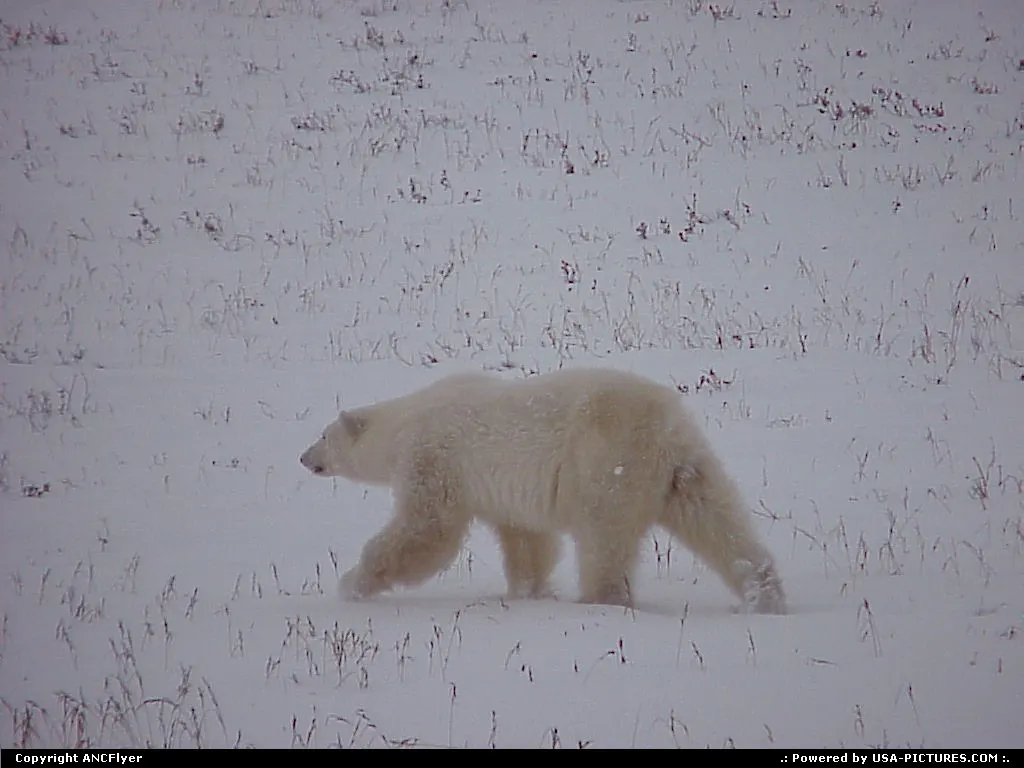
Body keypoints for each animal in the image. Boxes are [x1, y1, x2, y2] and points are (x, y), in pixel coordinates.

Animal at [300, 367, 785, 613]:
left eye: (323, 435)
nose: (303, 457)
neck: (404, 421)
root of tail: (665, 433)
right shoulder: (504, 492)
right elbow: (525, 538)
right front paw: (523, 592)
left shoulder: (433, 457)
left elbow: (426, 528)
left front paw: (353, 583)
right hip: (688, 466)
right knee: (718, 518)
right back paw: (764, 595)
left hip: (605, 459)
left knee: (602, 537)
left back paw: (598, 599)